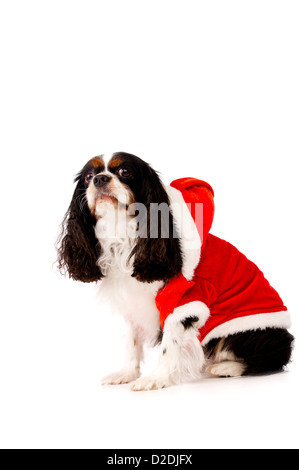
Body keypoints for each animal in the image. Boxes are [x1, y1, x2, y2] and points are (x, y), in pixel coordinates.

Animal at [57, 152, 294, 392]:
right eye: (88, 176)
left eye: (125, 171)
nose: (100, 179)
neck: (122, 233)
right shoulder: (132, 302)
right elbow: (132, 342)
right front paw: (127, 373)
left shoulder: (181, 300)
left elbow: (168, 344)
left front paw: (156, 378)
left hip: (253, 333)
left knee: (271, 357)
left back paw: (228, 367)